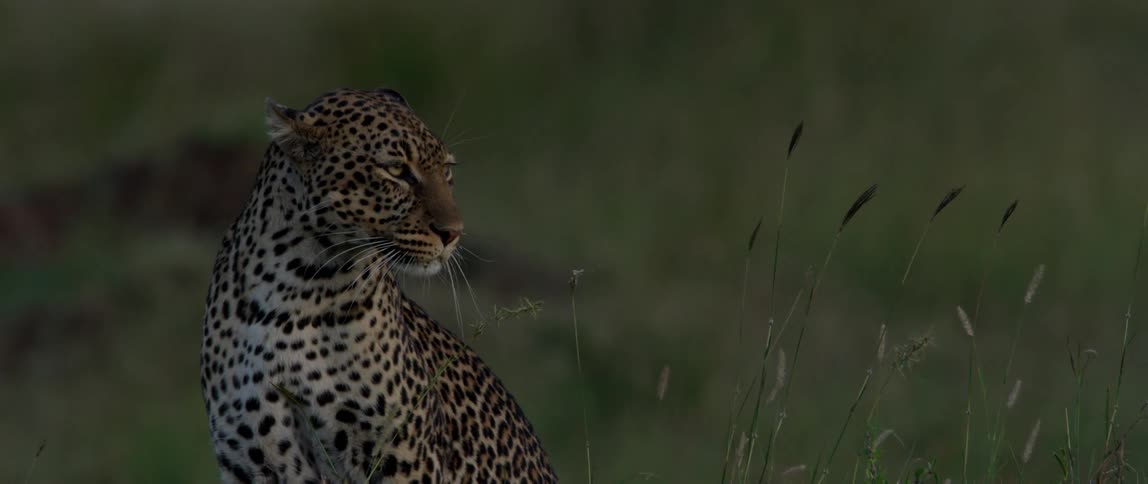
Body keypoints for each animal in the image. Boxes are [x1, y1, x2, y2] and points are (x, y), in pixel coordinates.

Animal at [199, 87, 557, 483]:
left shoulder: (402, 458)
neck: (295, 288)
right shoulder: (250, 461)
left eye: (446, 171)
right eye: (397, 170)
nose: (453, 233)